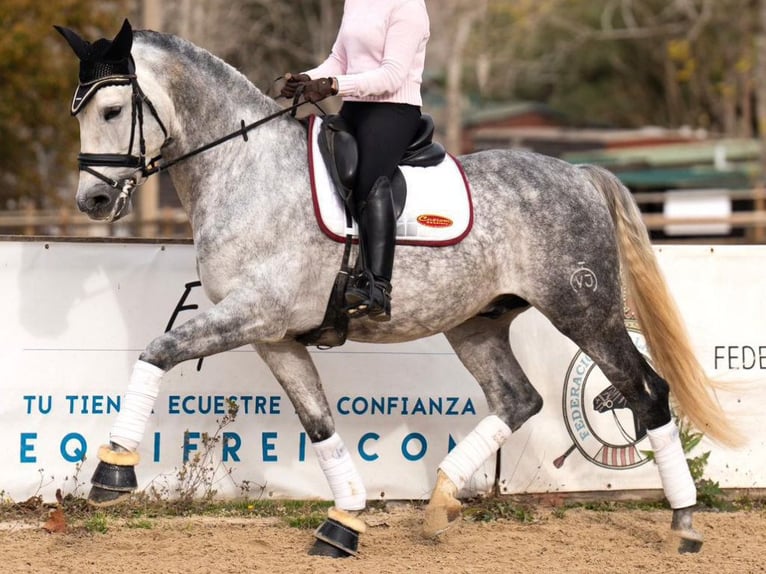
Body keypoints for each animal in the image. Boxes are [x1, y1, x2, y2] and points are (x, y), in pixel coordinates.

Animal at [57, 21, 740, 560]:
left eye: (112, 112)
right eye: (78, 113)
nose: (92, 202)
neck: (244, 171)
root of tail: (577, 172)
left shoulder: (254, 314)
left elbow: (159, 350)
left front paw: (111, 473)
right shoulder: (274, 335)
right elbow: (318, 423)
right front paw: (345, 522)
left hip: (584, 312)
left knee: (647, 393)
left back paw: (684, 524)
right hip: (477, 324)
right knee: (519, 400)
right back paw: (440, 503)